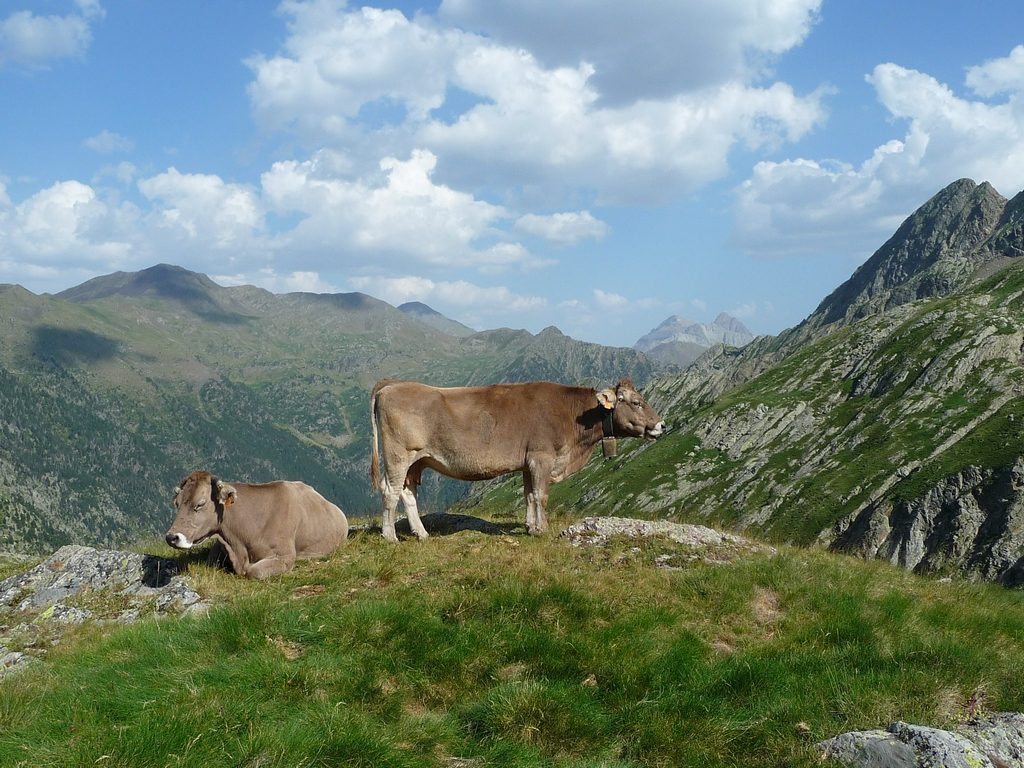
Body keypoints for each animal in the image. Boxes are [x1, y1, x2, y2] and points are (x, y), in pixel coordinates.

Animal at [368, 378, 663, 540]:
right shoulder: (542, 457)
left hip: (416, 461)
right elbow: (542, 495)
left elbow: (529, 495)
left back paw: (421, 534)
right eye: (636, 402)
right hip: (399, 455)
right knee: (390, 491)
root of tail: (391, 385)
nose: (661, 424)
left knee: (407, 493)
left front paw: (530, 527)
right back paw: (390, 537)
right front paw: (542, 529)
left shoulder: (527, 462)